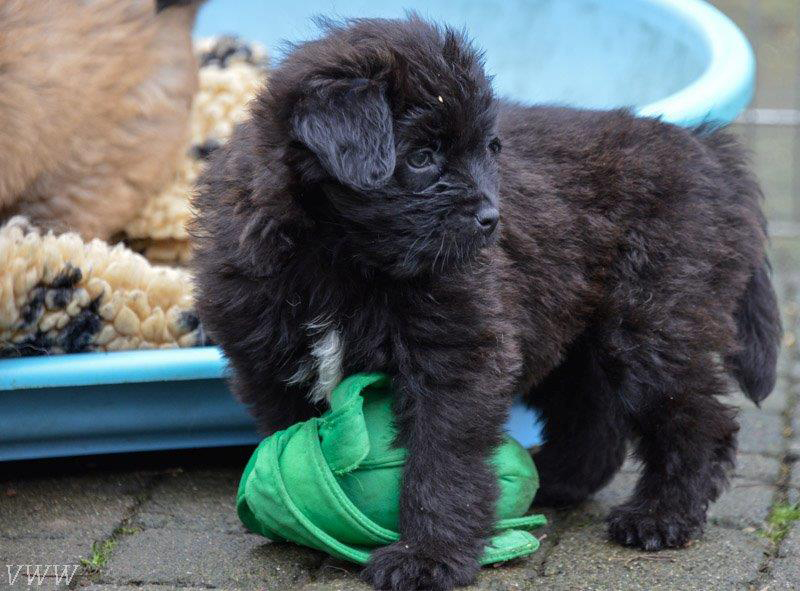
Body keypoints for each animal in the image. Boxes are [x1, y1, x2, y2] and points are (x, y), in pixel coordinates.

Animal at [192, 16, 782, 590]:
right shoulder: (267, 362)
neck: (339, 258)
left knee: (697, 420)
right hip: (570, 325)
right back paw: (557, 480)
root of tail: (707, 152)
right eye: (422, 157)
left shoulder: (459, 357)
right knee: (597, 416)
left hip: (653, 324)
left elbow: (442, 461)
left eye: (489, 149)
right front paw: (306, 521)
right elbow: (291, 437)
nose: (491, 221)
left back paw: (661, 516)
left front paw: (429, 558)